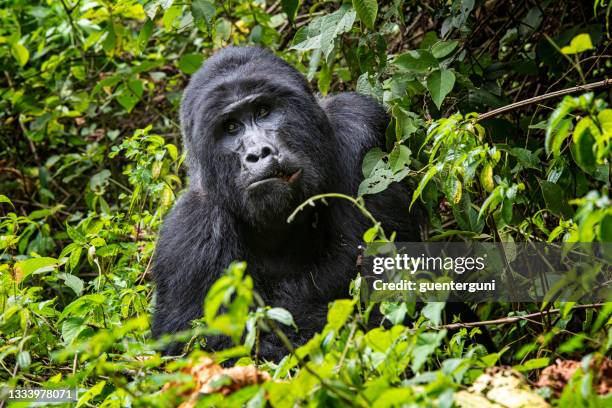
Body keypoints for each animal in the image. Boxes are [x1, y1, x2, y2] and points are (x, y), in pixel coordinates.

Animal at [151, 47, 424, 360]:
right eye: (231, 127)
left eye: (263, 111)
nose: (258, 153)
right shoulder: (188, 237)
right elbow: (203, 347)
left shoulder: (357, 127)